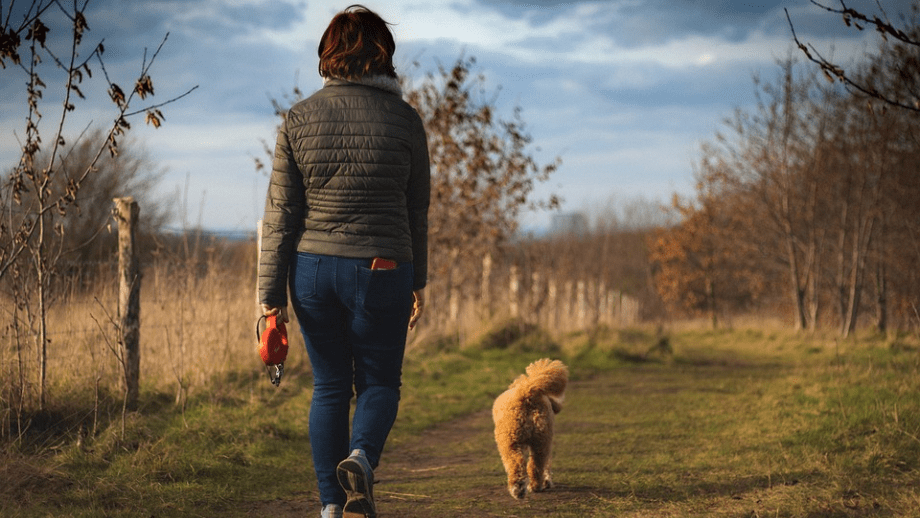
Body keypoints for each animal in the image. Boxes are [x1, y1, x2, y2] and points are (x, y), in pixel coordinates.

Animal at [492, 360, 564, 502]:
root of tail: (526, 392)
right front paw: (547, 481)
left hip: (509, 441)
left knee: (516, 464)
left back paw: (518, 489)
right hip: (541, 439)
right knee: (536, 465)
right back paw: (534, 486)